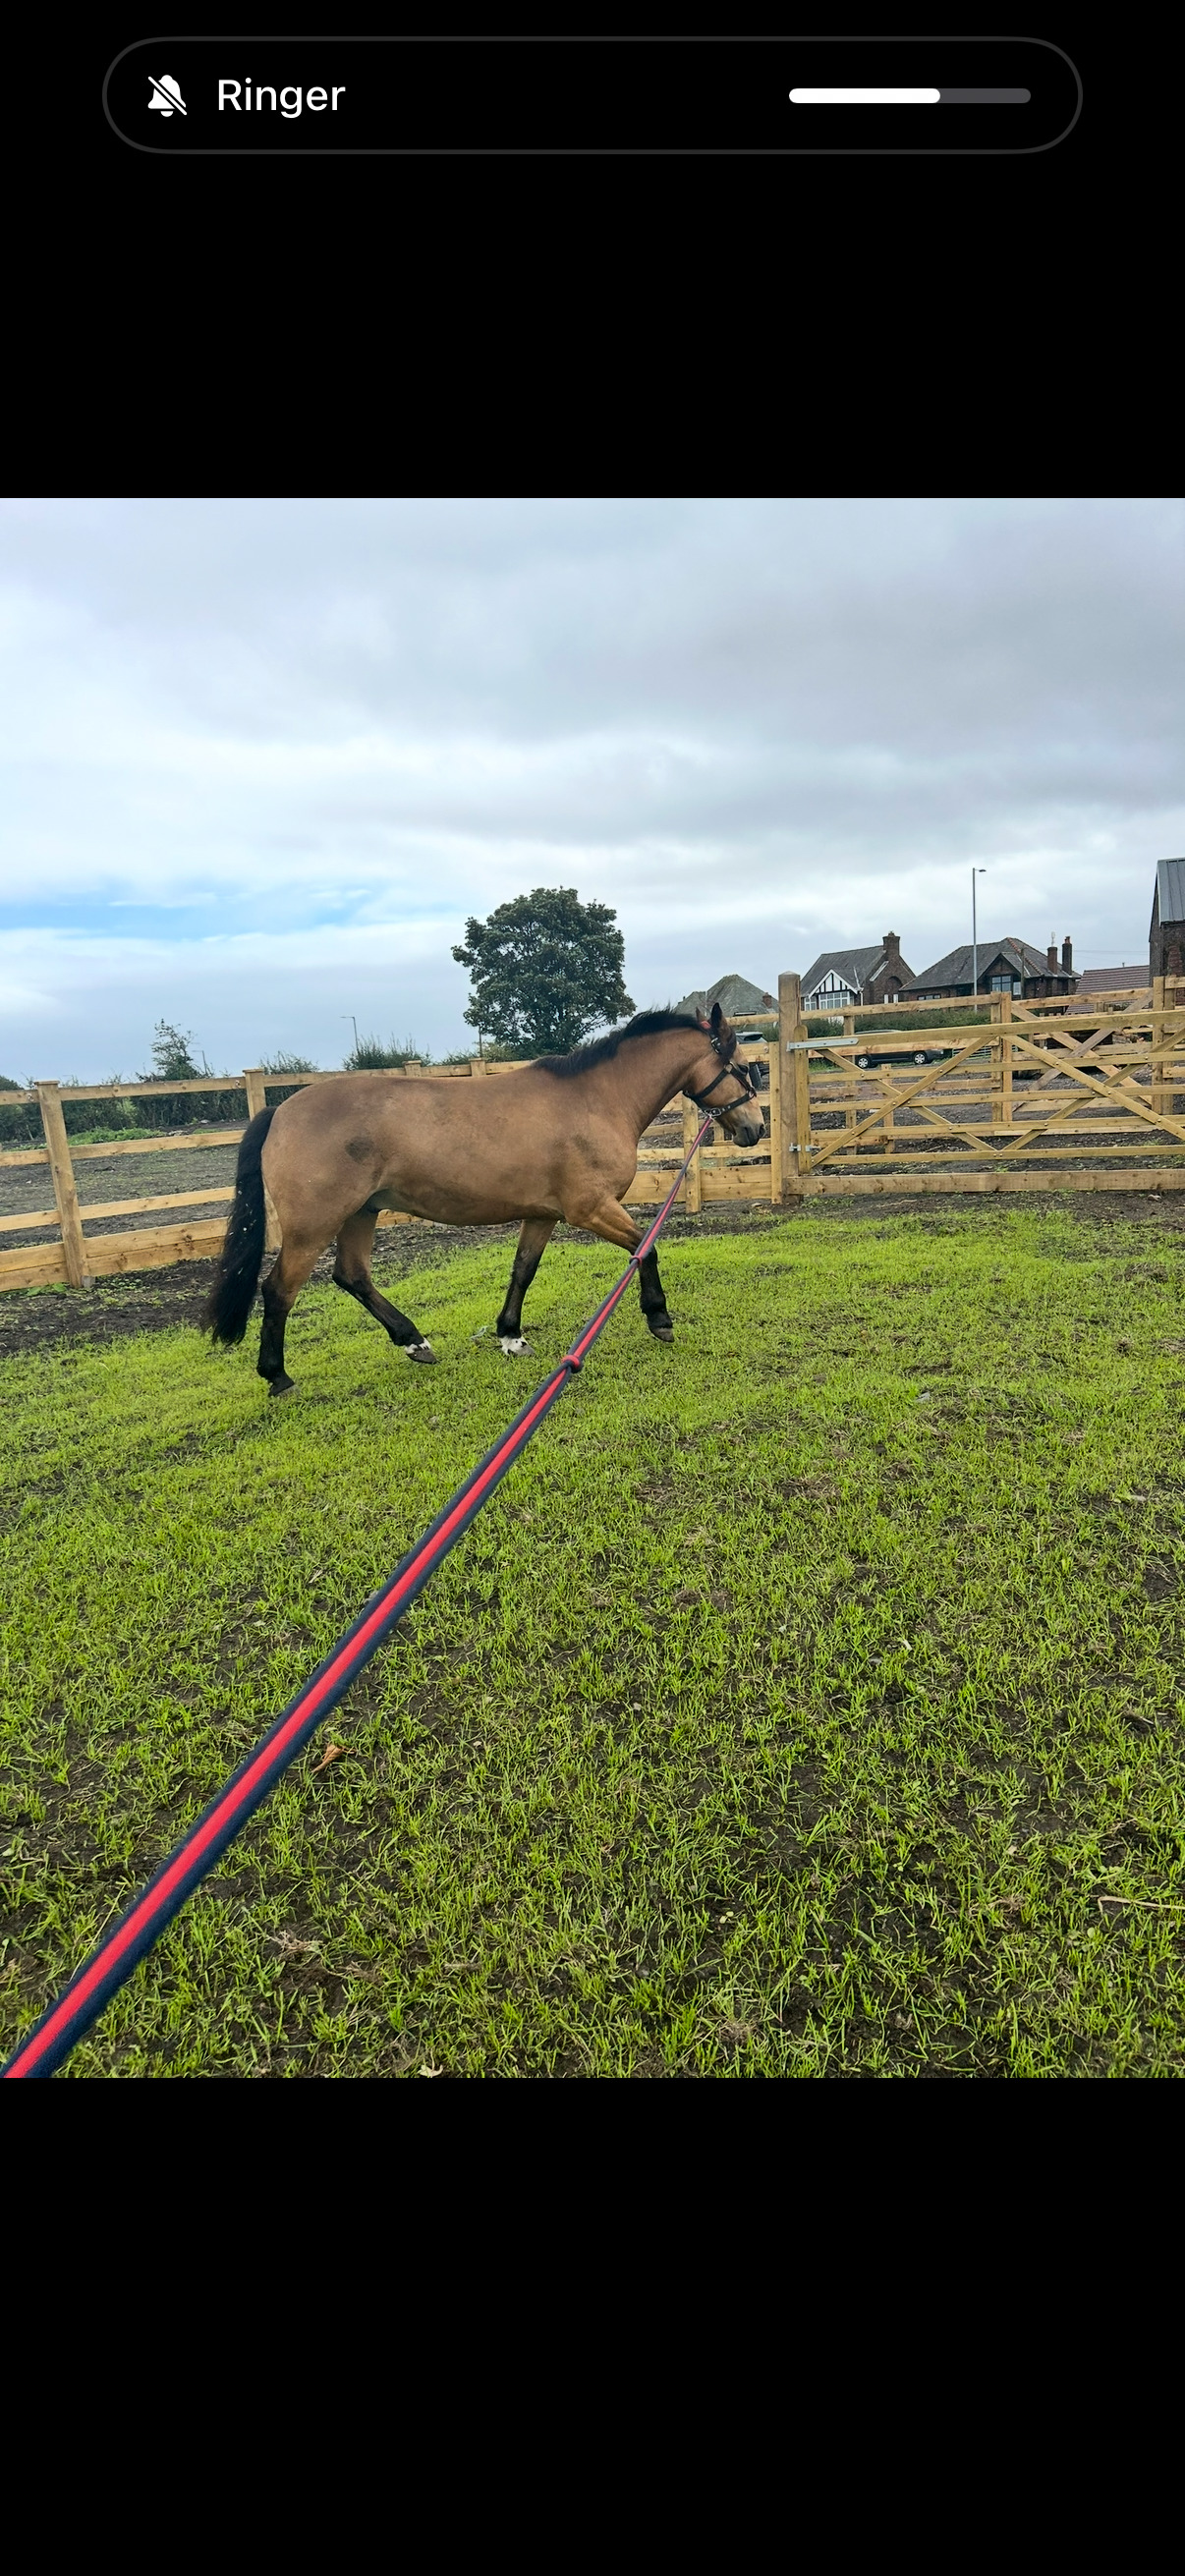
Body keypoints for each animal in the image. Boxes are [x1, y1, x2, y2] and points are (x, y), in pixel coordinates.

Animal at [204, 1003, 766, 1395]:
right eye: (743, 1067)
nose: (755, 1129)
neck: (594, 1098)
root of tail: (280, 1111)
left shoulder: (543, 1215)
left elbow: (523, 1271)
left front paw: (510, 1335)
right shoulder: (591, 1210)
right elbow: (645, 1248)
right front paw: (659, 1318)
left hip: (362, 1212)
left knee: (352, 1276)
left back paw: (414, 1342)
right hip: (313, 1225)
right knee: (279, 1290)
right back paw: (277, 1376)